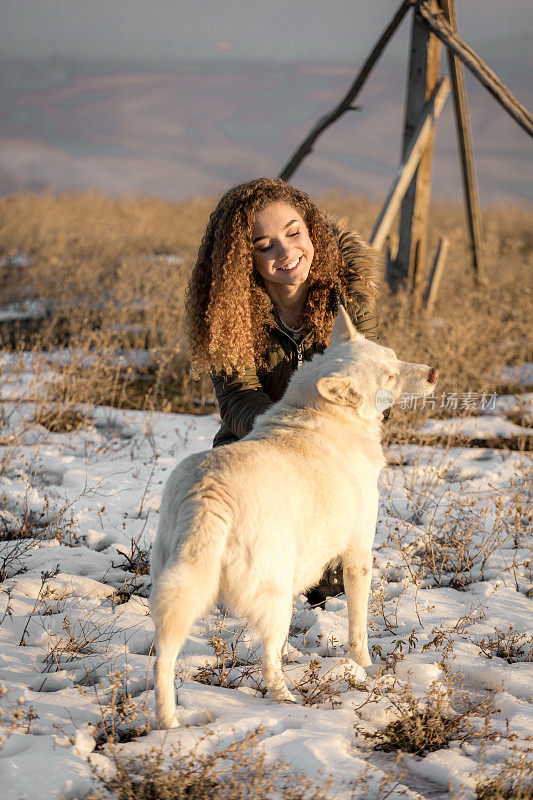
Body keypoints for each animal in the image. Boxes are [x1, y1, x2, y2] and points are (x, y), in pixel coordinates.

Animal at [149, 308, 436, 732]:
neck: (321, 414)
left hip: (179, 590)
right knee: (268, 662)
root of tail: (209, 490)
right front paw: (364, 667)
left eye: (395, 357)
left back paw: (168, 723)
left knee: (163, 661)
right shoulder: (358, 557)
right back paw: (287, 700)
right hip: (274, 595)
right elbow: (358, 627)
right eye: (387, 377)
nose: (434, 373)